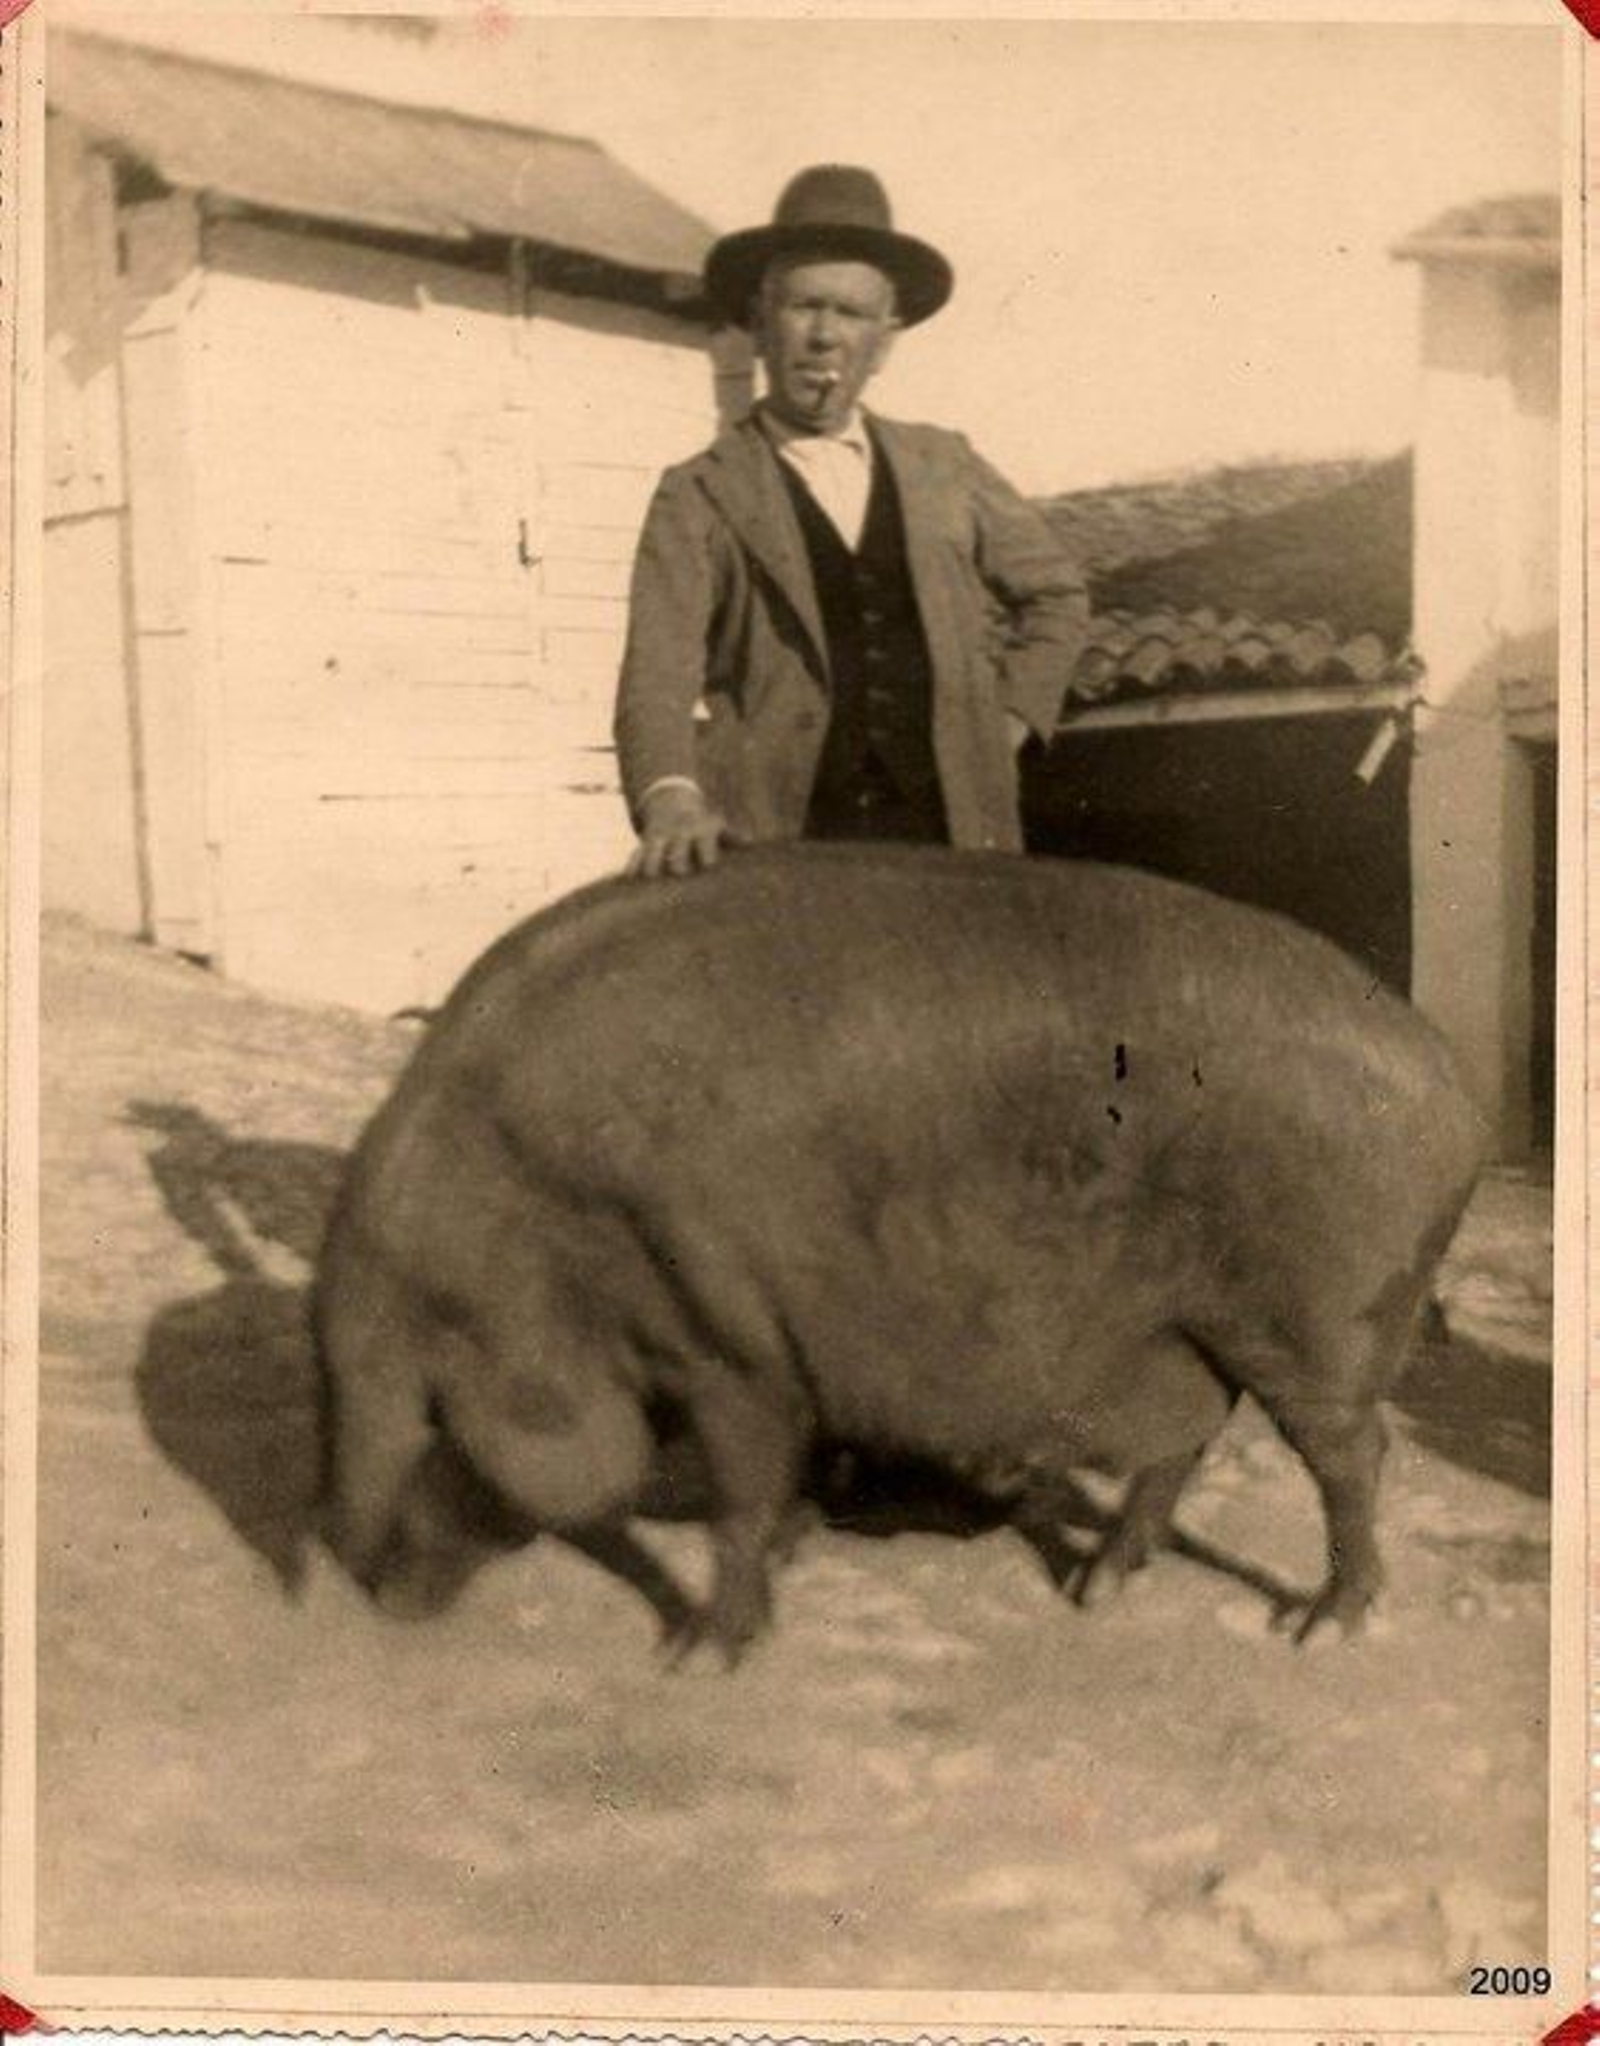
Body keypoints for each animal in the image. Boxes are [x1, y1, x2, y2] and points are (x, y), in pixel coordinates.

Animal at [315, 843, 1486, 1661]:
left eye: (431, 1415)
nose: (373, 1600)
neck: (539, 1217)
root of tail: (1449, 1079)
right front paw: (787, 1558)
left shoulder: (727, 1337)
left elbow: (739, 1491)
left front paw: (696, 1657)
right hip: (1192, 1329)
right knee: (1184, 1445)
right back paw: (1092, 1594)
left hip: (1326, 1318)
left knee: (1354, 1455)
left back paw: (1317, 1628)